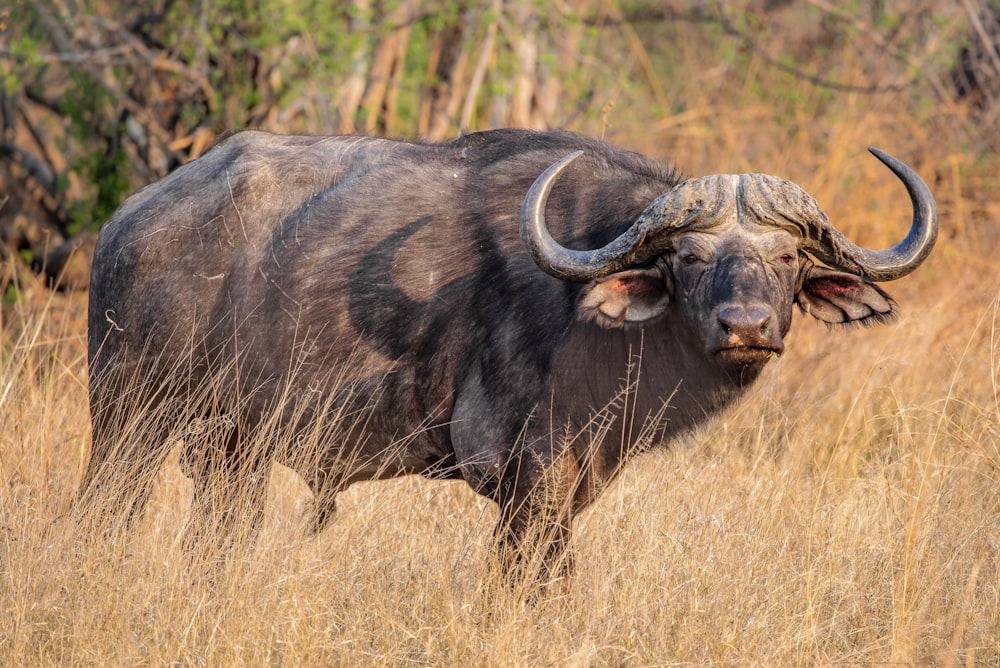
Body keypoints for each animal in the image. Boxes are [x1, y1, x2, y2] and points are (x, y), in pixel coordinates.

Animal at [84, 128, 936, 580]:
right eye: (690, 258)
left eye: (787, 259)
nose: (747, 326)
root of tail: (129, 220)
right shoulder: (527, 484)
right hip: (127, 422)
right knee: (107, 513)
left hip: (232, 451)